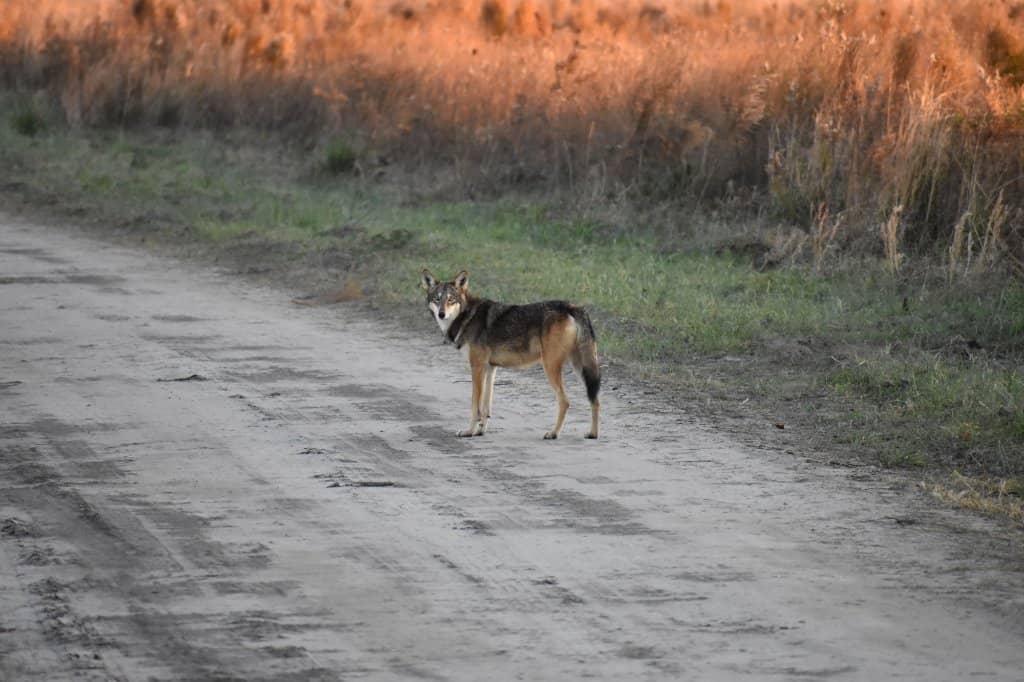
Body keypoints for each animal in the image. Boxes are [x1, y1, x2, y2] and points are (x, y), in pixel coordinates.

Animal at [421, 269, 600, 440]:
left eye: (451, 299)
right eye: (437, 299)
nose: (441, 314)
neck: (467, 316)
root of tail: (572, 307)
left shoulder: (477, 367)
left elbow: (475, 406)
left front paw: (468, 432)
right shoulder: (490, 368)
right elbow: (485, 406)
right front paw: (480, 431)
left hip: (551, 368)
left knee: (565, 402)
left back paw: (553, 433)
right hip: (581, 368)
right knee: (595, 399)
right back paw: (593, 434)